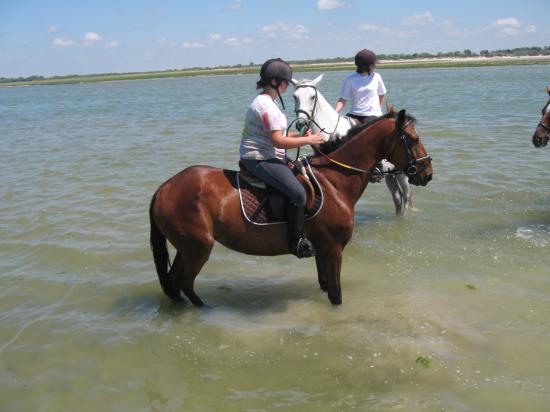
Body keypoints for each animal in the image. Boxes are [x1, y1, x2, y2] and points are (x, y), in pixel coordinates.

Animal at [151, 108, 436, 306]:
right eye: (413, 138)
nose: (427, 173)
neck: (334, 182)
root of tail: (164, 188)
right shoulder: (334, 249)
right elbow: (335, 294)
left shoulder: (322, 250)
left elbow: (325, 287)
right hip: (198, 248)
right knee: (183, 282)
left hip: (186, 248)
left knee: (174, 284)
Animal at [292, 74, 412, 216]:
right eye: (295, 96)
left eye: (312, 97)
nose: (300, 123)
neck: (333, 133)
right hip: (390, 174)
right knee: (397, 197)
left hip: (402, 173)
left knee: (406, 197)